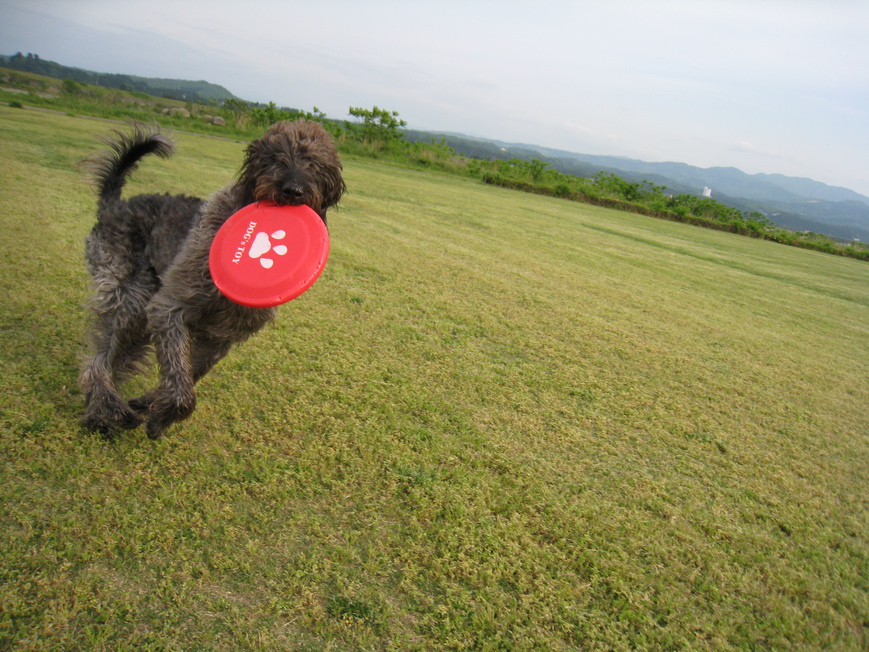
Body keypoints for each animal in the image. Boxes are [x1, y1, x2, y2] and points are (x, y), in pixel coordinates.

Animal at [77, 120, 342, 440]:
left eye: (314, 164)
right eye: (276, 157)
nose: (293, 191)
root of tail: (115, 206)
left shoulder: (220, 338)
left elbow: (189, 373)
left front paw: (154, 407)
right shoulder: (170, 308)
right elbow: (182, 385)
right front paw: (161, 417)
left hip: (140, 314)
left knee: (117, 357)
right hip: (128, 297)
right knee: (99, 359)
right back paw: (103, 410)